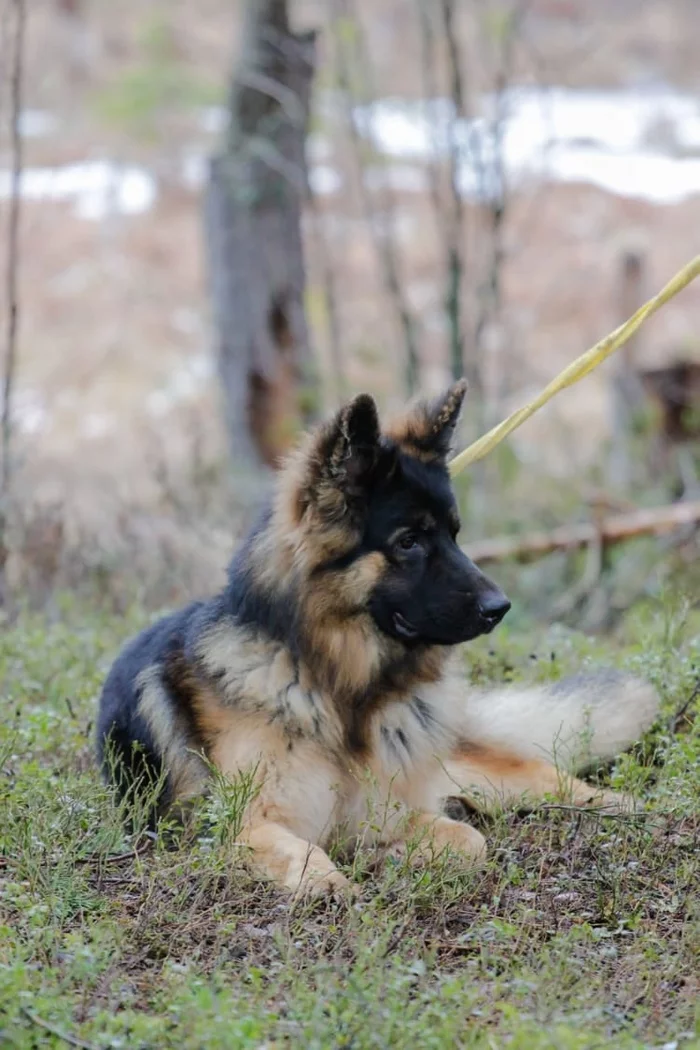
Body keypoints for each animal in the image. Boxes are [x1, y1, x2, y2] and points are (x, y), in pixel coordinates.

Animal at [96, 382, 659, 898]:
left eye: (454, 534)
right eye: (408, 541)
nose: (499, 608)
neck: (339, 687)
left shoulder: (383, 805)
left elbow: (470, 842)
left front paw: (389, 854)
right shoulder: (244, 825)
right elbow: (305, 855)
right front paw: (336, 882)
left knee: (549, 778)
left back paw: (632, 808)